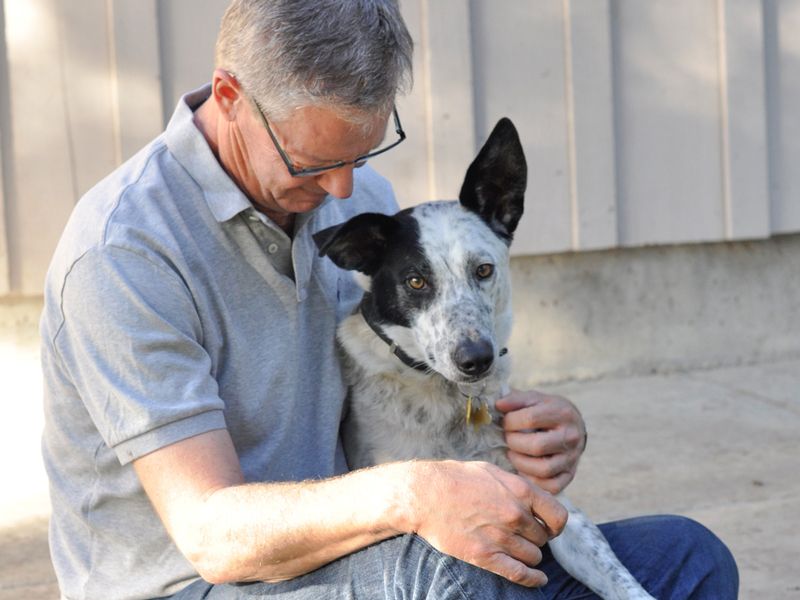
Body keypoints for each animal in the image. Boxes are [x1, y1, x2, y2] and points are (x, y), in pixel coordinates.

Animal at [314, 118, 656, 600]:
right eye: (416, 281)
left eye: (483, 270)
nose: (476, 359)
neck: (452, 397)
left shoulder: (554, 507)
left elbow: (619, 578)